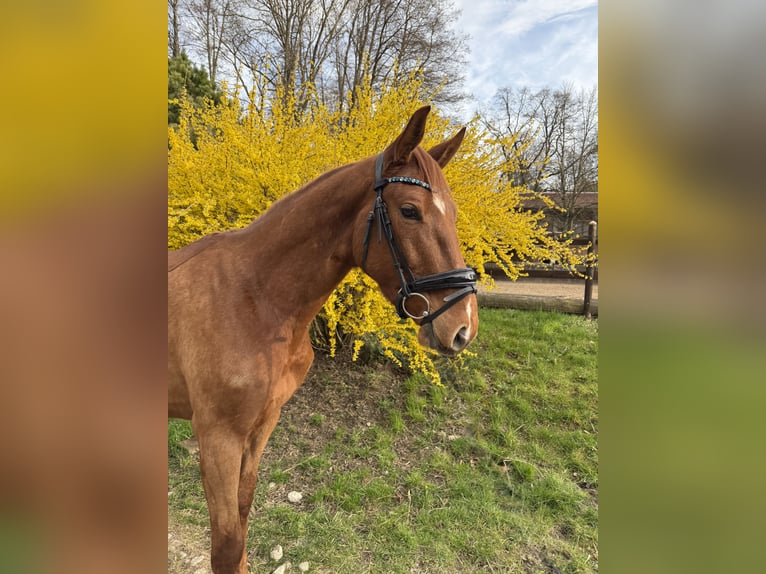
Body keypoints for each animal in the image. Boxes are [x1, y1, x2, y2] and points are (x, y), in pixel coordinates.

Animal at [168, 106, 479, 574]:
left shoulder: (261, 427)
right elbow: (226, 546)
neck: (255, 297)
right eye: (409, 211)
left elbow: (241, 523)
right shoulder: (217, 437)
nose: (463, 327)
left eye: (456, 213)